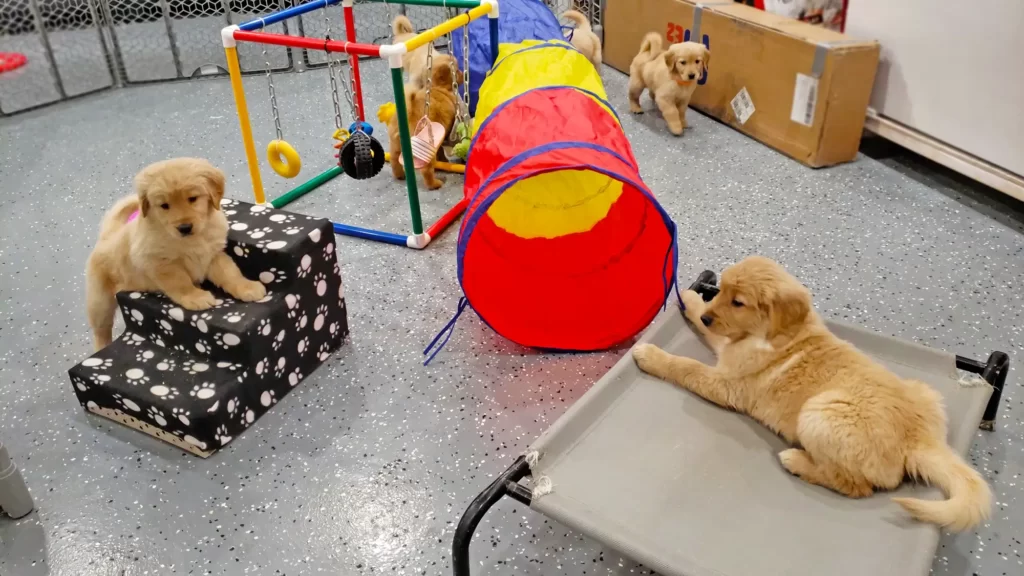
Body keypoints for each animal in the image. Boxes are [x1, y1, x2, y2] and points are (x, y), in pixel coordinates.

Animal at [85, 154, 266, 350]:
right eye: (164, 205)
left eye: (193, 198)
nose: (184, 227)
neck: (190, 241)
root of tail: (106, 236)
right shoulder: (161, 264)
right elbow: (181, 282)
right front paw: (196, 297)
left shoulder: (213, 254)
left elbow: (230, 273)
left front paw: (247, 287)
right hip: (100, 301)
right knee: (101, 328)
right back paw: (101, 346)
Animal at [385, 59, 462, 190]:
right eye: (456, 71)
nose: (462, 73)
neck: (436, 86)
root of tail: (409, 113)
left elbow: (440, 151)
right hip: (426, 149)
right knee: (426, 170)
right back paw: (434, 184)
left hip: (395, 145)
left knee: (394, 160)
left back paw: (400, 175)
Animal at [630, 255, 991, 528]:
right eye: (722, 292)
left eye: (738, 302)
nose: (707, 318)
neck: (777, 332)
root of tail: (920, 439)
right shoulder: (729, 348)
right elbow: (708, 331)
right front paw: (691, 299)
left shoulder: (727, 383)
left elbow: (686, 367)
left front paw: (651, 355)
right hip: (926, 393)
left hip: (820, 413)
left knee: (855, 486)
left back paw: (797, 461)